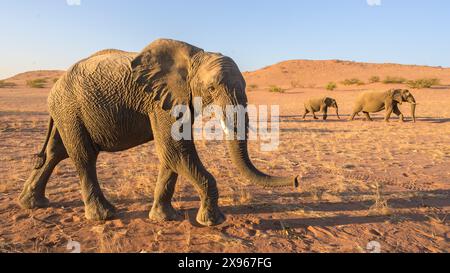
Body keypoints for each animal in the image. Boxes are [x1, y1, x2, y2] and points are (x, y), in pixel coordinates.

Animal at [18, 38, 298, 225]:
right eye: (211, 88)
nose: (296, 179)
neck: (195, 56)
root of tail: (55, 86)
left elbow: (171, 155)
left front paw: (164, 218)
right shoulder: (159, 100)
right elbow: (175, 150)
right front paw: (212, 221)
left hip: (66, 112)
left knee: (56, 153)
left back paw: (32, 203)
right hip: (70, 109)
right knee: (84, 156)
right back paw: (104, 215)